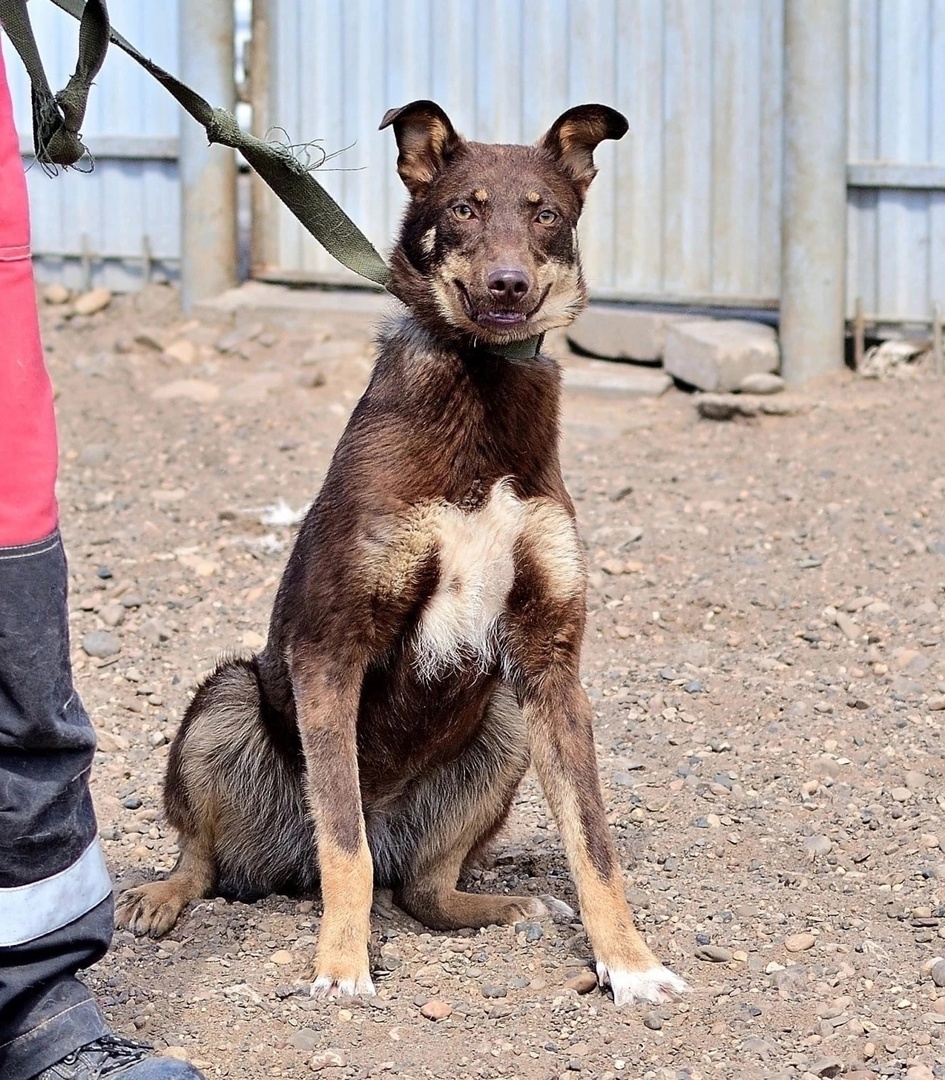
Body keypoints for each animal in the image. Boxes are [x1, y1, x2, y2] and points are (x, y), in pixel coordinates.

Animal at [118, 101, 691, 1002]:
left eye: (545, 214)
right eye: (462, 209)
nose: (507, 285)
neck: (481, 392)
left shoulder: (550, 665)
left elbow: (593, 844)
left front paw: (629, 964)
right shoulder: (330, 647)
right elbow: (343, 844)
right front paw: (341, 965)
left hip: (501, 727)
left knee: (422, 889)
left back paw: (500, 906)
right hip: (226, 700)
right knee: (218, 857)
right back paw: (165, 895)